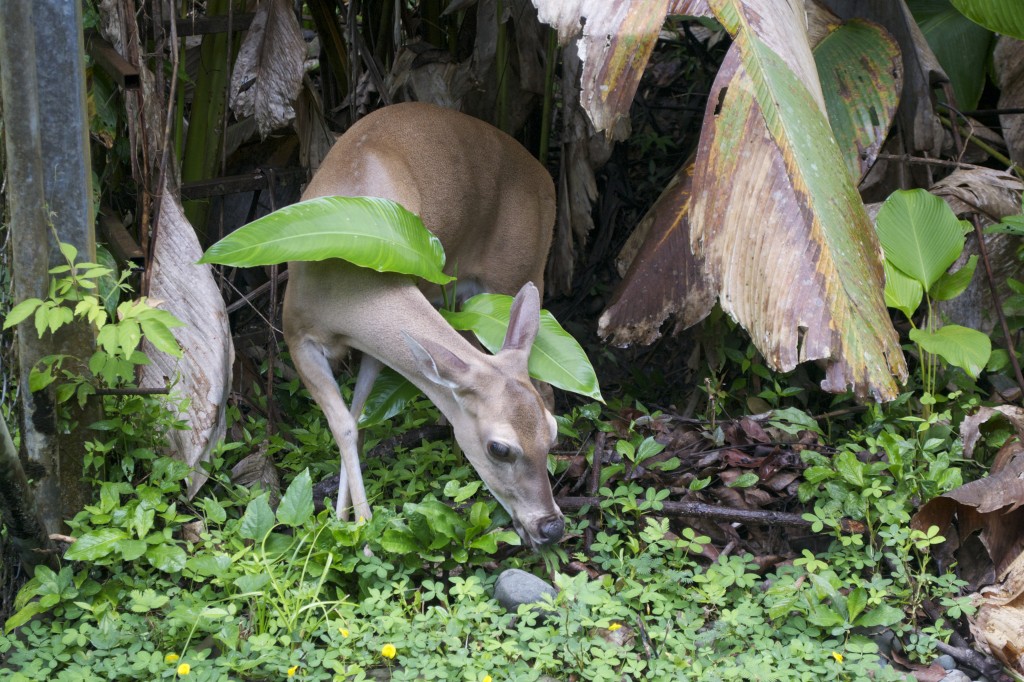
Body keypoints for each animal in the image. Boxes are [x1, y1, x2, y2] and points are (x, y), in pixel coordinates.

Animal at [282, 100, 569, 548]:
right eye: (499, 448)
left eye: (554, 436)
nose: (551, 526)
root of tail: (545, 175)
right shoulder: (296, 330)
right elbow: (349, 421)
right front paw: (350, 521)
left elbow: (351, 418)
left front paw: (359, 527)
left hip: (520, 272)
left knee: (547, 384)